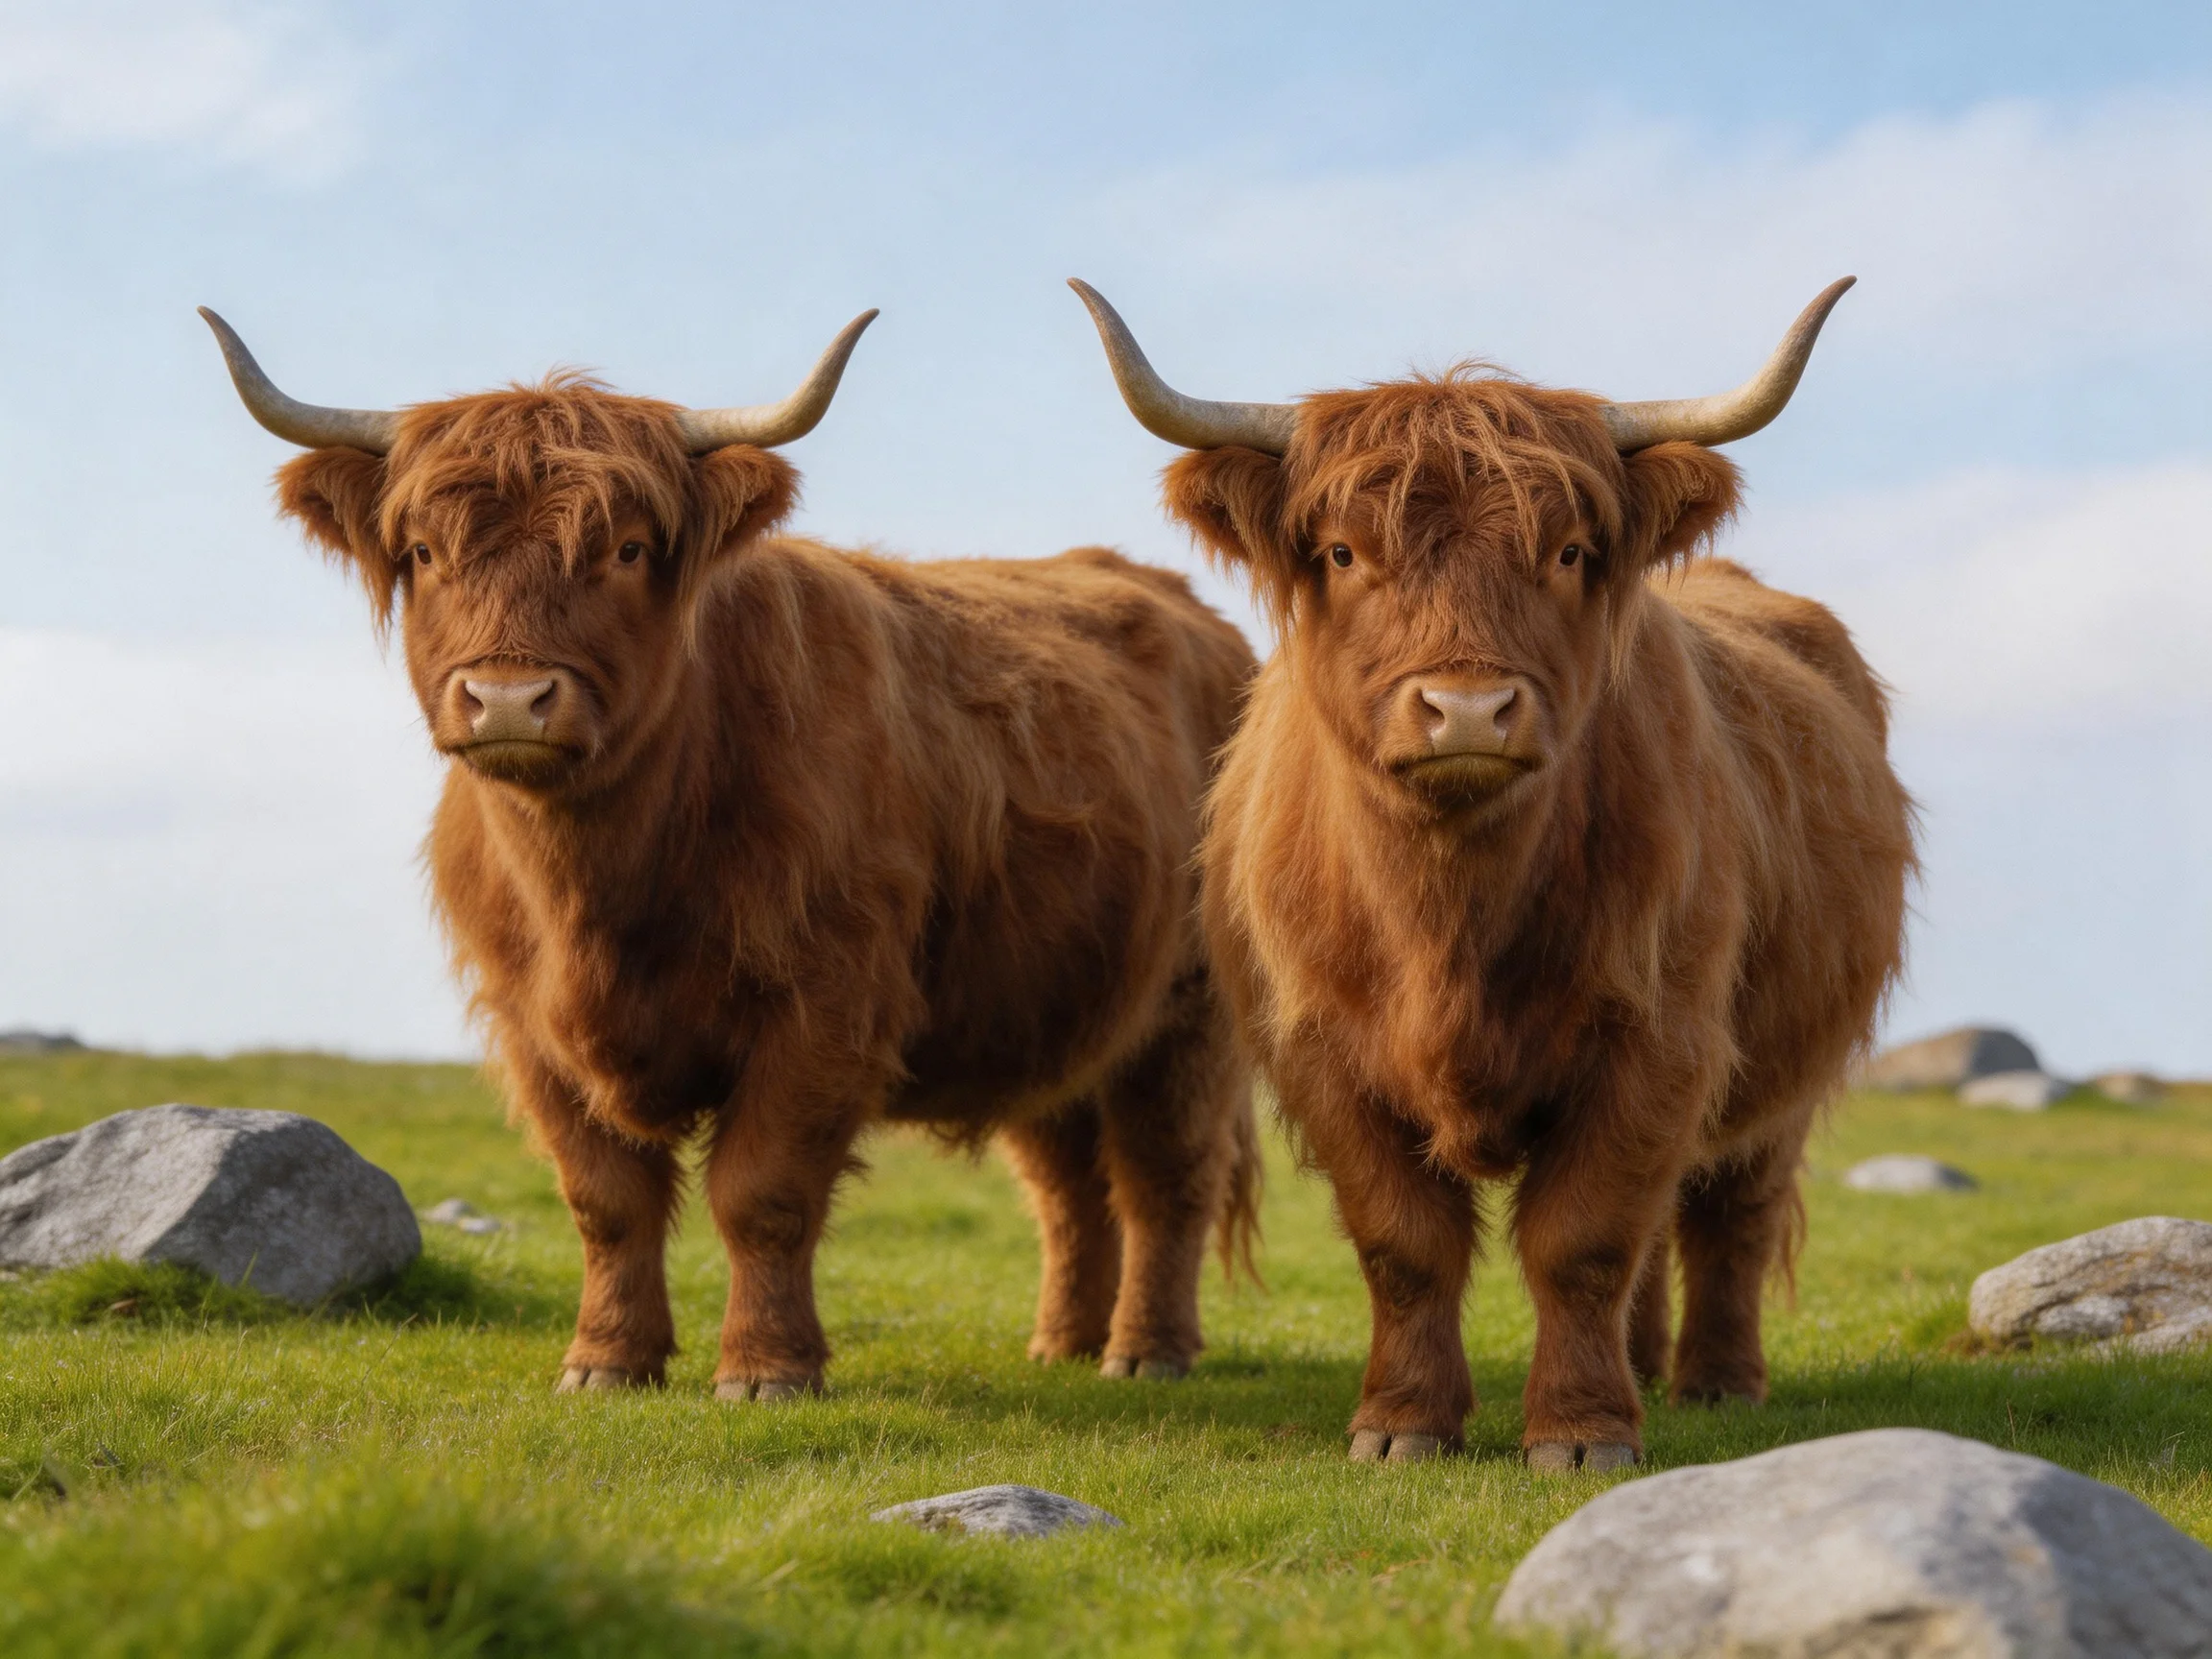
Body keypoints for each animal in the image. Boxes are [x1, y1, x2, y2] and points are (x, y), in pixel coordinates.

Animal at [201, 306, 1260, 1399]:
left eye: (627, 549)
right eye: (420, 551)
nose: (509, 698)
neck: (601, 887)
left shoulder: (826, 1004)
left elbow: (764, 1193)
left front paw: (765, 1369)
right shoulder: (529, 1023)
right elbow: (606, 1199)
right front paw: (607, 1361)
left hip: (1192, 1013)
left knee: (1166, 1175)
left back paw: (1146, 1351)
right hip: (1048, 1007)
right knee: (1065, 1184)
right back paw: (1063, 1343)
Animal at [1072, 278, 1914, 1470]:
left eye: (1567, 551)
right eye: (1342, 553)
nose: (1467, 709)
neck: (1448, 919)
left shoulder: (1661, 1038)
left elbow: (1584, 1239)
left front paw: (1582, 1432)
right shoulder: (1322, 1049)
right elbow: (1404, 1243)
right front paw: (1401, 1425)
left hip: (1779, 1066)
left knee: (1731, 1213)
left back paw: (1713, 1382)